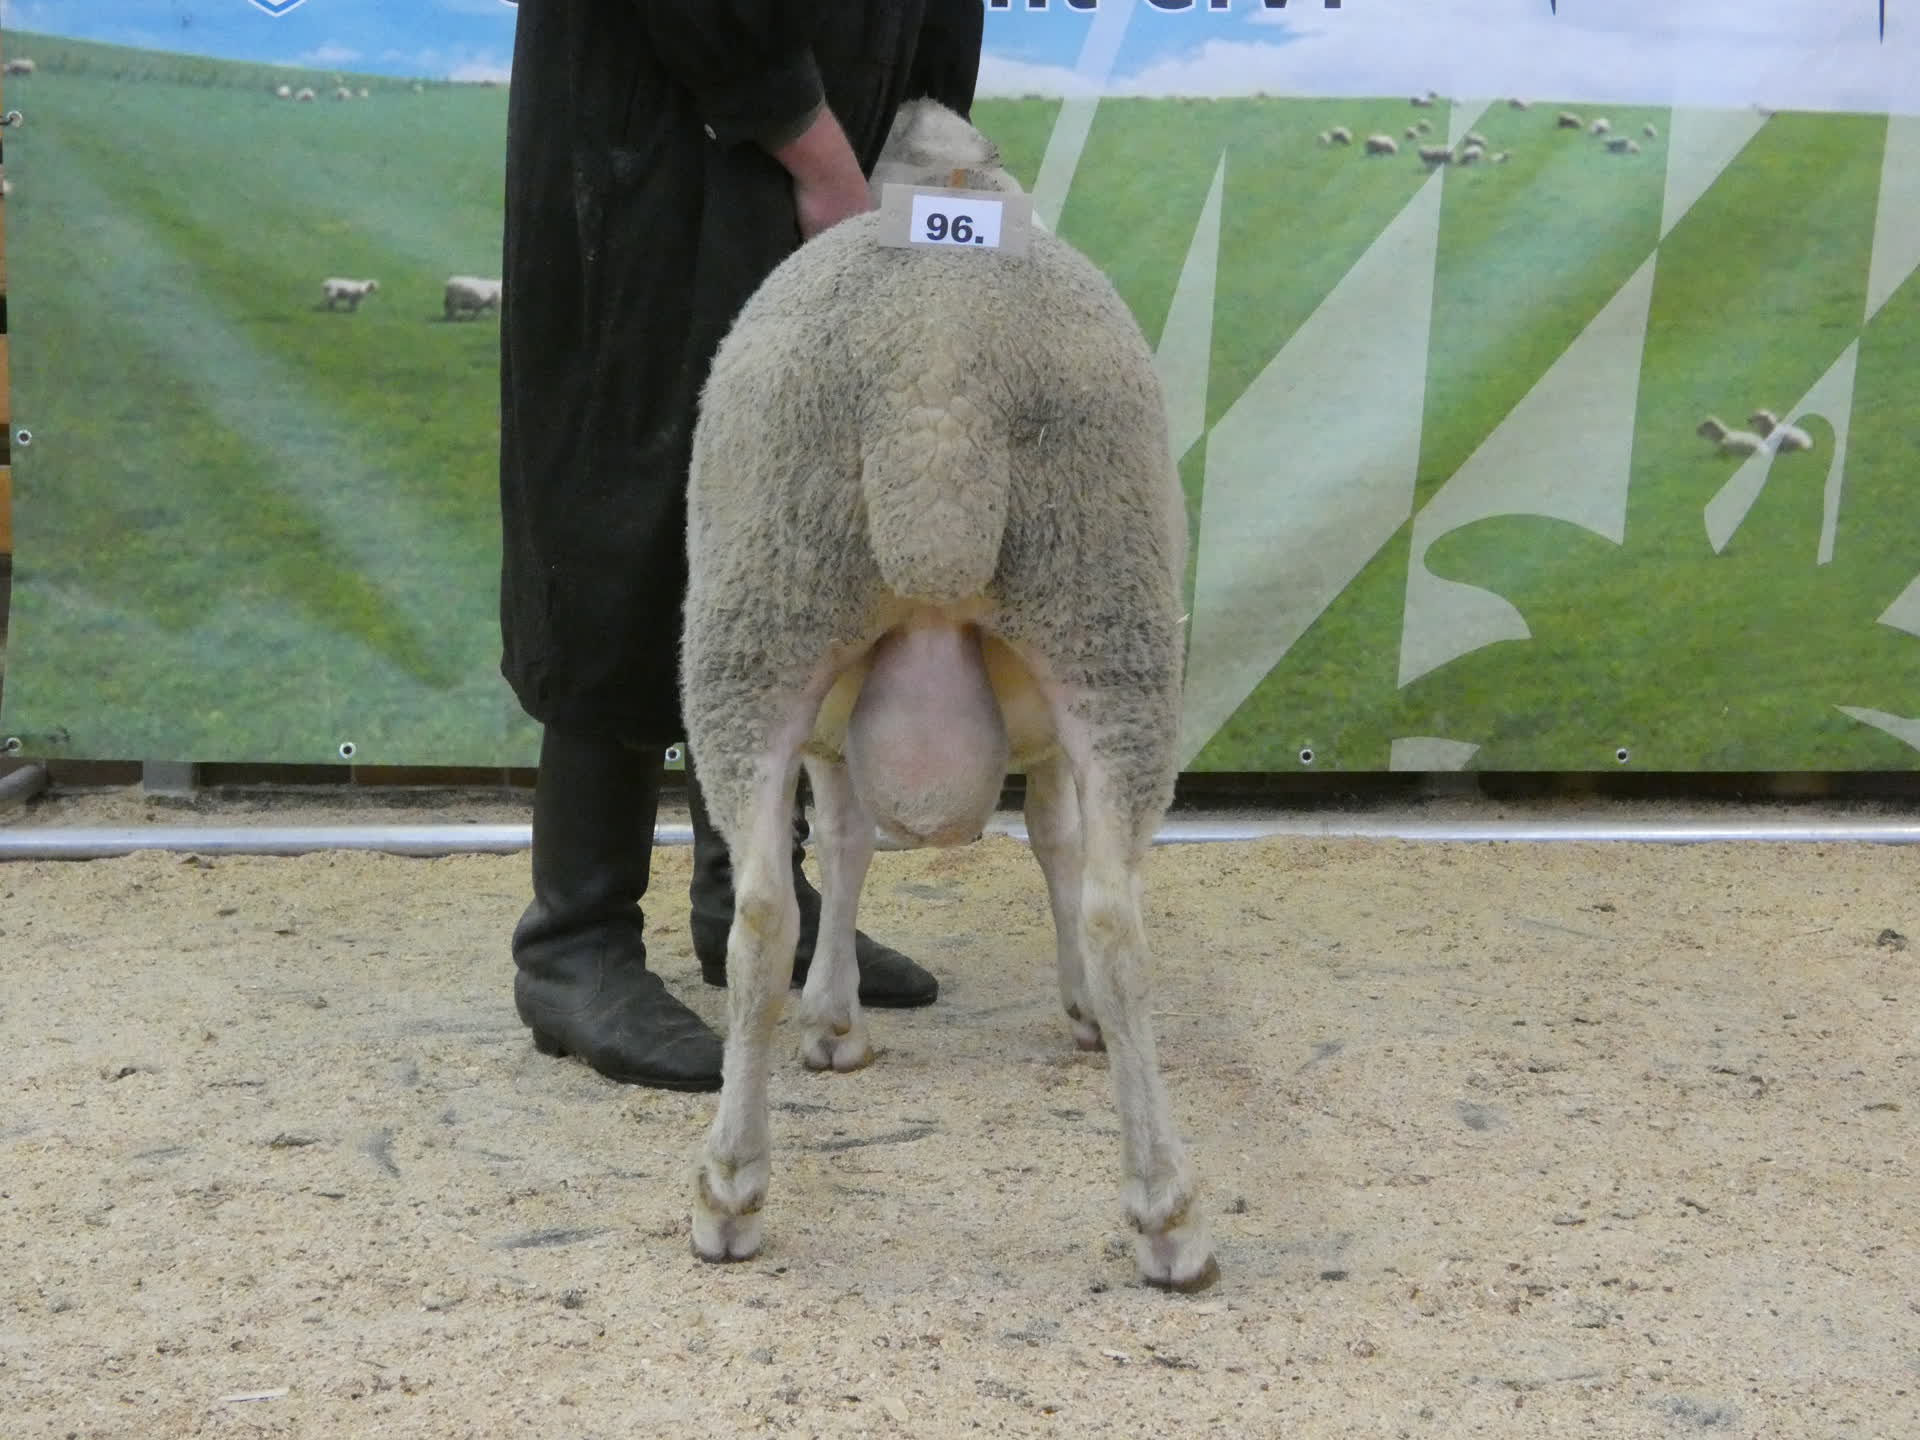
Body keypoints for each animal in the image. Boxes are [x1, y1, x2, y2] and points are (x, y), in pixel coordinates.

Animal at [679, 97, 1215, 1292]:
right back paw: (1166, 1211)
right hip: (1103, 618)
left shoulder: (838, 736)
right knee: (1115, 914)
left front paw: (832, 1019)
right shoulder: (1036, 743)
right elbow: (1041, 847)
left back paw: (730, 1189)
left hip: (761, 622)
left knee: (762, 910)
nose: (921, 106)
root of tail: (939, 380)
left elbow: (842, 847)